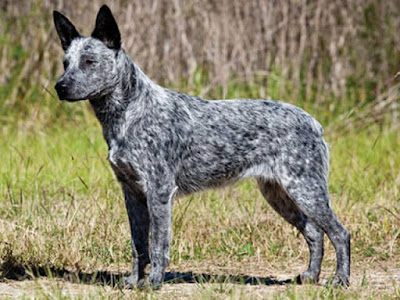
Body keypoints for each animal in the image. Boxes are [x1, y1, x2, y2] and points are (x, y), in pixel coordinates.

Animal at [52, 4, 350, 290]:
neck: (129, 112)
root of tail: (314, 122)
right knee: (315, 232)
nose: (60, 87)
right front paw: (134, 281)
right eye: (66, 63)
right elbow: (139, 245)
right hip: (279, 194)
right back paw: (310, 276)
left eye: (89, 62)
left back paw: (340, 280)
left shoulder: (159, 191)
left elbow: (158, 245)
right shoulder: (131, 192)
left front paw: (153, 283)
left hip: (305, 190)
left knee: (339, 233)